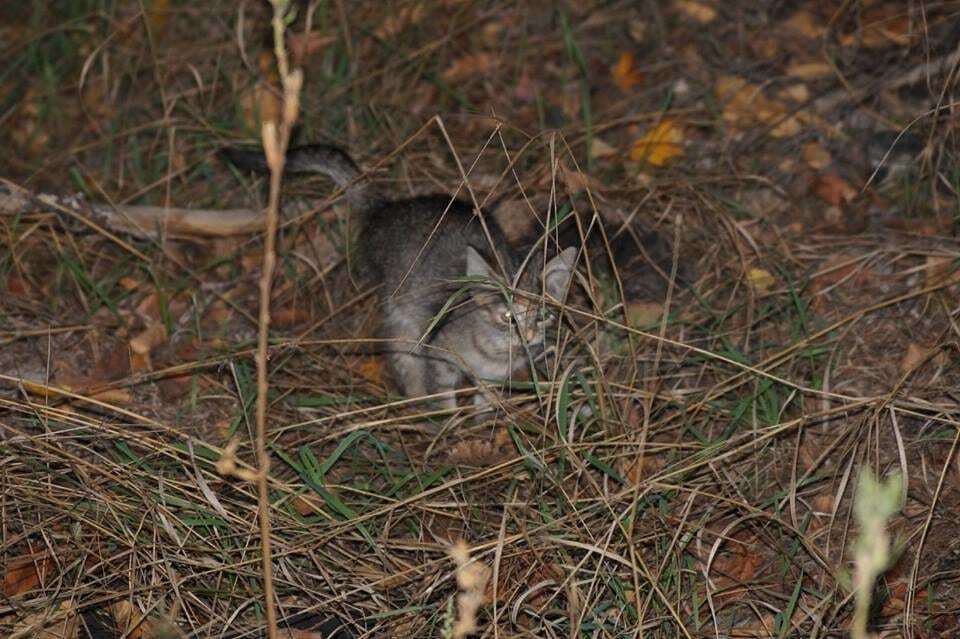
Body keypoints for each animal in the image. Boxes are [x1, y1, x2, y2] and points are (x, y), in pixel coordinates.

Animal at [221, 144, 572, 410]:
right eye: (509, 318)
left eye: (543, 316)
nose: (529, 336)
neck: (495, 352)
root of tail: (386, 208)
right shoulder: (439, 356)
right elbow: (443, 395)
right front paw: (450, 427)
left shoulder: (493, 376)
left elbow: (486, 398)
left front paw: (485, 421)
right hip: (400, 320)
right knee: (404, 361)